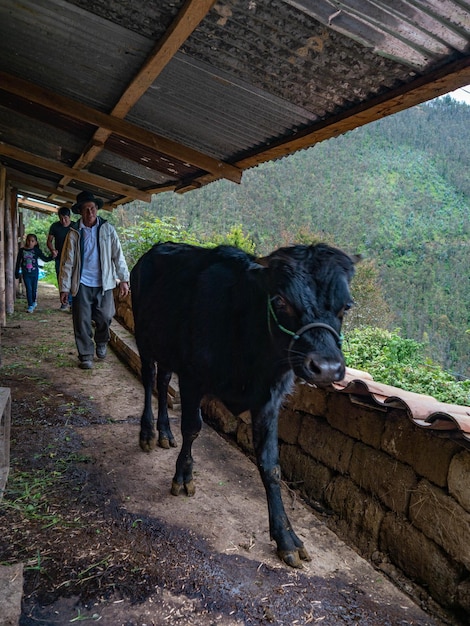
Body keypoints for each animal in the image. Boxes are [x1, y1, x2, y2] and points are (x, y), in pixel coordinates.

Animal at [129, 240, 356, 564]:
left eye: (346, 306)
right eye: (280, 300)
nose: (326, 368)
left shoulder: (269, 400)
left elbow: (271, 463)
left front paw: (286, 537)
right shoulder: (193, 377)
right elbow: (192, 428)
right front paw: (183, 477)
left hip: (168, 348)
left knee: (162, 380)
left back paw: (164, 433)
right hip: (145, 337)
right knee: (149, 378)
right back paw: (148, 433)